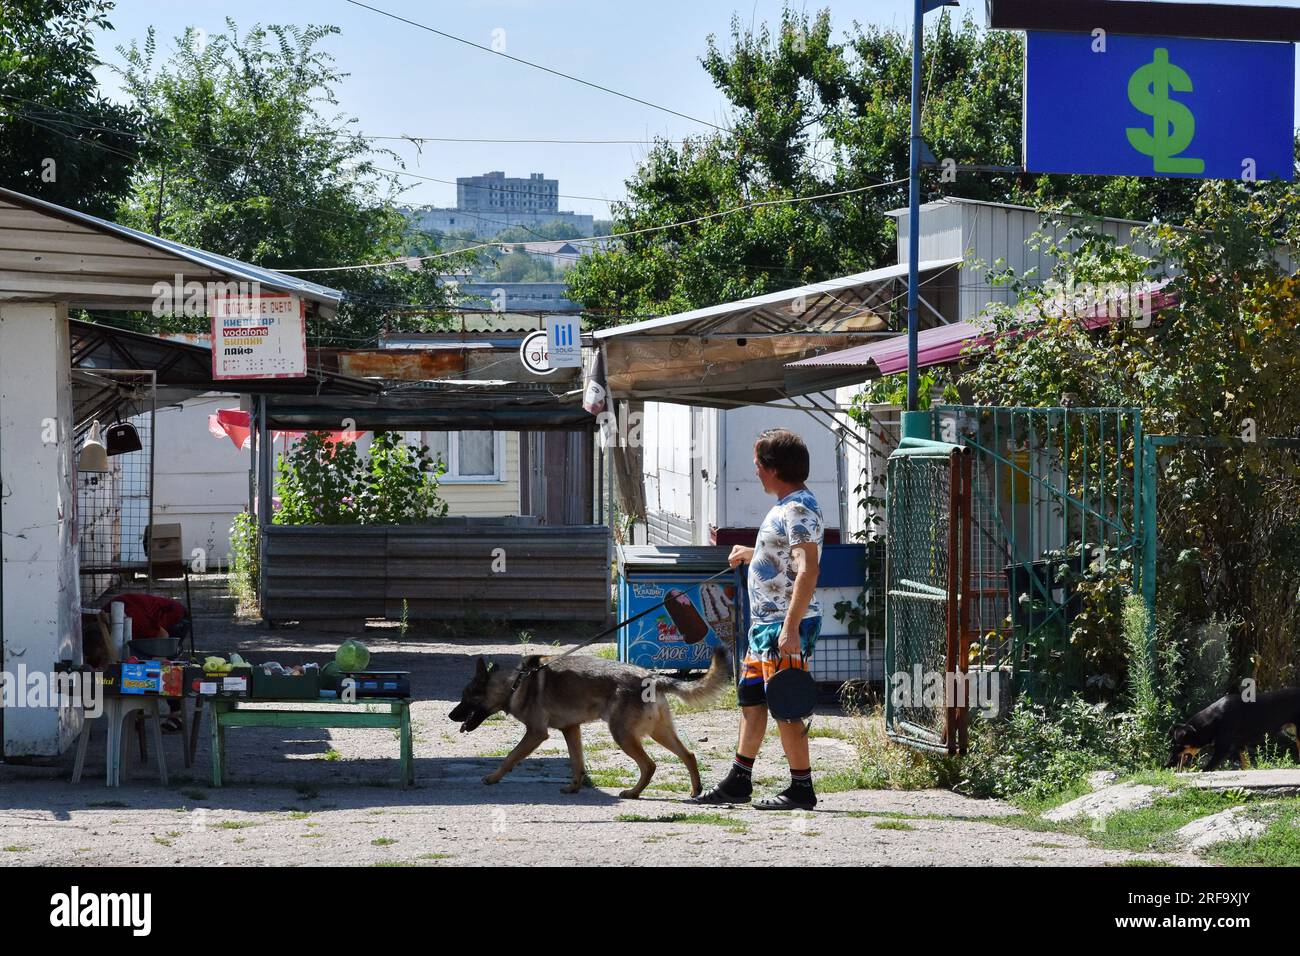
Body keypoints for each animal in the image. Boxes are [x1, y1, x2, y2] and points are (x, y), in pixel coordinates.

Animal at [449, 647, 733, 796]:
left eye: (465, 697)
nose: (451, 716)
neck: (515, 683)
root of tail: (652, 677)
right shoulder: (570, 730)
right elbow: (577, 763)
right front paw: (574, 786)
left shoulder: (536, 734)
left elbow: (510, 757)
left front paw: (493, 778)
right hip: (659, 733)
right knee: (689, 755)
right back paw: (695, 789)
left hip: (623, 735)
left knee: (650, 765)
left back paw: (634, 793)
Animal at [1170, 686, 1300, 770]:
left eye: (1179, 744)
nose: (1167, 764)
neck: (1214, 720)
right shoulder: (1241, 746)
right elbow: (1246, 765)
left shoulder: (1222, 750)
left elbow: (1206, 769)